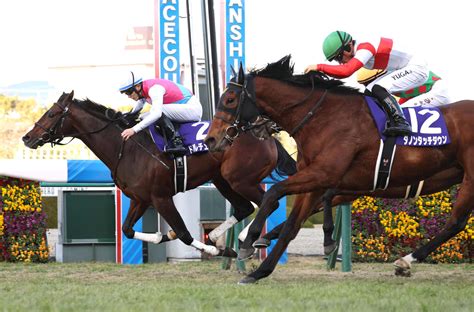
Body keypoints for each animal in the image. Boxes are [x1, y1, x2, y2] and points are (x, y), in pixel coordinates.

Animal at [24, 91, 296, 258]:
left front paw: (212, 250)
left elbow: (184, 234)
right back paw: (222, 237)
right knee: (245, 208)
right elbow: (127, 229)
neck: (128, 147)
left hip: (241, 179)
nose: (27, 137)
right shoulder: (140, 199)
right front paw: (162, 235)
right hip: (223, 180)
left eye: (51, 114)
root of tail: (265, 135)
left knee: (267, 203)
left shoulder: (161, 197)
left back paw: (247, 238)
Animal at [206, 55, 472, 282]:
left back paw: (406, 260)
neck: (324, 118)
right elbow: (293, 224)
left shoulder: (325, 175)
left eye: (230, 99)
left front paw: (248, 241)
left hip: (470, 177)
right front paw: (259, 269)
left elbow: (274, 193)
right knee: (457, 223)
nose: (211, 139)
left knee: (456, 222)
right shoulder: (322, 181)